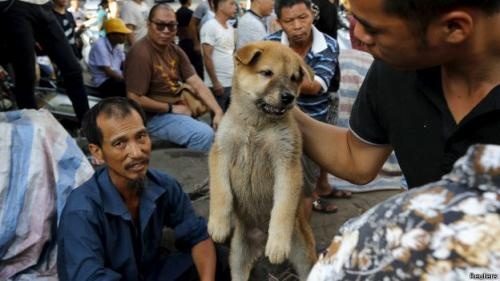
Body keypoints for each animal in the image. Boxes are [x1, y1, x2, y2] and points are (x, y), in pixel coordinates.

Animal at [207, 40, 316, 278]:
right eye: (267, 73)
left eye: (294, 78)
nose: (289, 97)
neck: (256, 125)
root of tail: (260, 239)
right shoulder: (221, 151)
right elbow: (221, 192)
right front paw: (218, 225)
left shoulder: (286, 161)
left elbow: (283, 206)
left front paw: (277, 244)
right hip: (238, 256)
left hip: (303, 255)